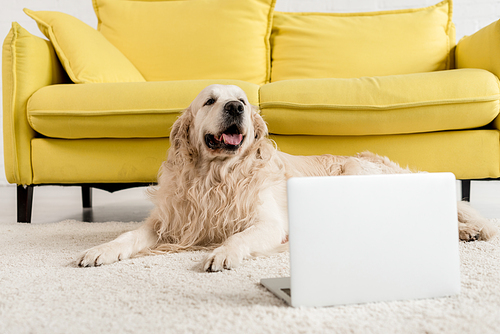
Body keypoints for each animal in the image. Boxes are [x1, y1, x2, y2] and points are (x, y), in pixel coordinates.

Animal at [77, 83, 496, 272]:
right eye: (210, 101)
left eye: (243, 100)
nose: (235, 107)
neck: (215, 178)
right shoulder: (169, 221)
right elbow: (128, 236)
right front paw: (101, 250)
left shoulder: (269, 222)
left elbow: (239, 236)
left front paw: (222, 253)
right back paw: (468, 232)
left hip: (356, 172)